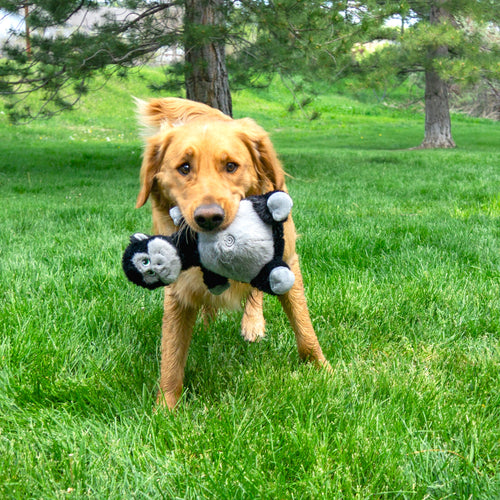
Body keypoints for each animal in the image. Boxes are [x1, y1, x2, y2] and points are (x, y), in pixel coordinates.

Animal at [134, 97, 328, 410]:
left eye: (231, 166)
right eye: (184, 167)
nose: (209, 218)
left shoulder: (287, 260)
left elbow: (304, 327)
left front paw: (324, 371)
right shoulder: (179, 288)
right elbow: (171, 356)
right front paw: (166, 409)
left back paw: (253, 323)